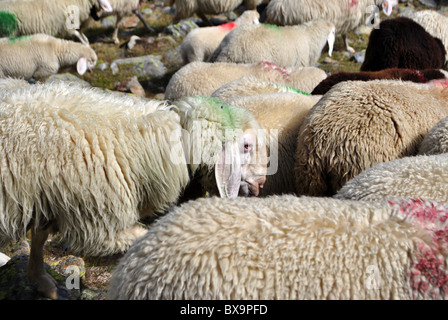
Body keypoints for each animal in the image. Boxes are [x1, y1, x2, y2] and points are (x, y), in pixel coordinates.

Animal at [0, 80, 268, 300]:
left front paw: (42, 282)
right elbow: (137, 239)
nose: (261, 184)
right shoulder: (96, 218)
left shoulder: (45, 197)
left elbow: (39, 237)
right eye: (246, 146)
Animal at [264, 0, 398, 52]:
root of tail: (275, 9)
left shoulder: (344, 20)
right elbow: (344, 35)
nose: (397, 2)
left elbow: (344, 36)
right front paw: (347, 48)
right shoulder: (346, 19)